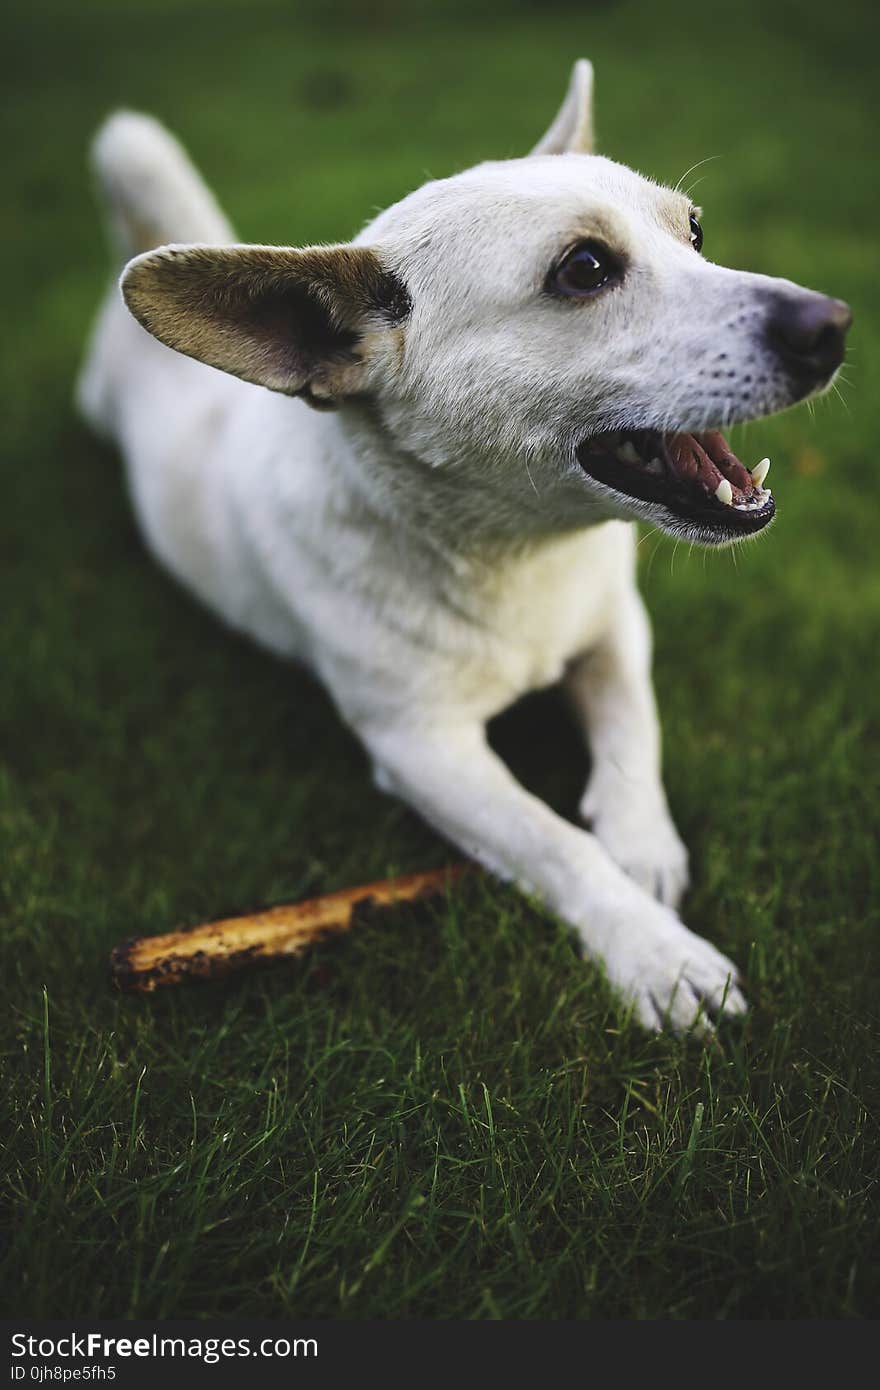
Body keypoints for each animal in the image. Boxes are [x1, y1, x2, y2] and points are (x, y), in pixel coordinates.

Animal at [78, 59, 845, 1028]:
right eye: (585, 269)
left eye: (696, 232)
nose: (834, 324)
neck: (518, 555)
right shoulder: (422, 749)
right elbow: (555, 842)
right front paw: (657, 953)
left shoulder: (616, 631)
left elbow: (633, 739)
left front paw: (644, 850)